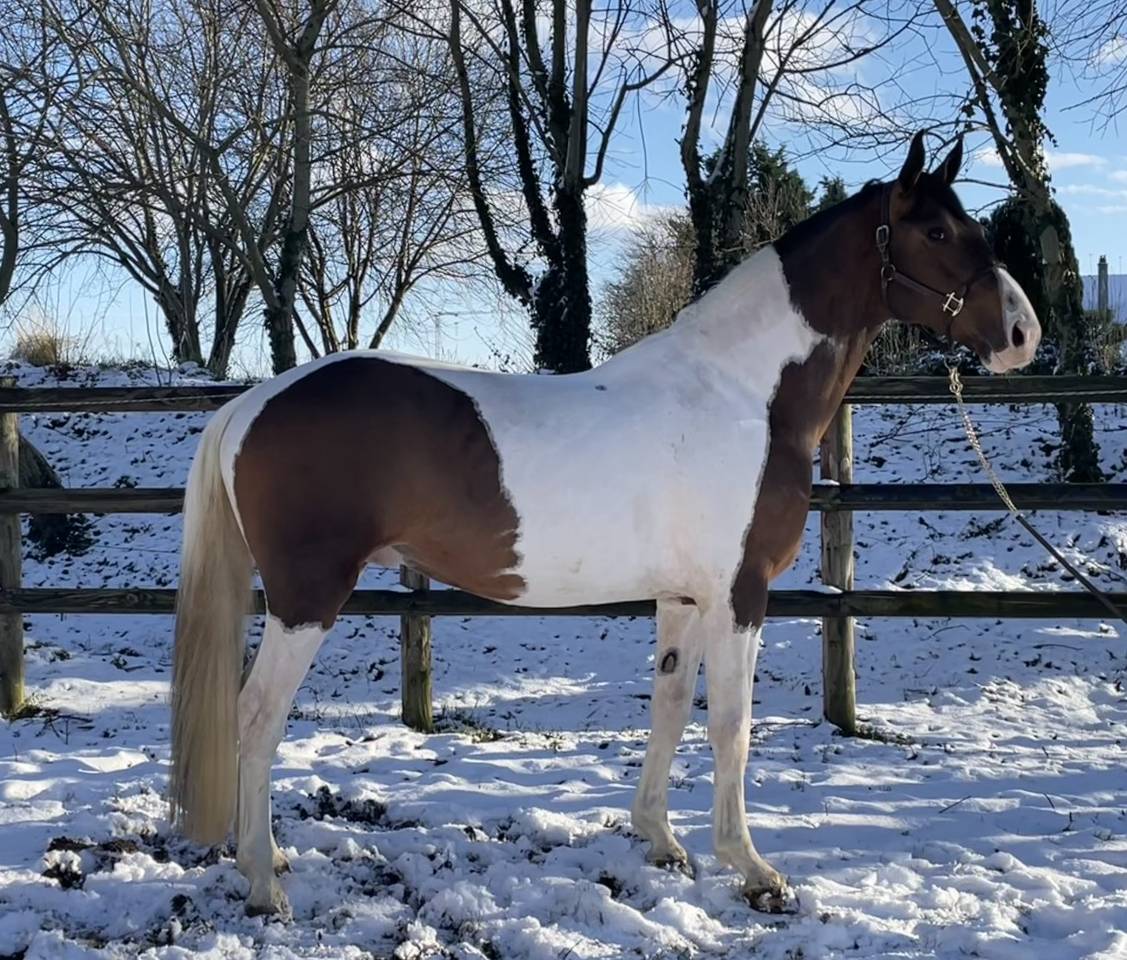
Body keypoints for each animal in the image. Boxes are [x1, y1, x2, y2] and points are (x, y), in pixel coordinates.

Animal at [168, 131, 1040, 917]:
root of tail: (252, 402)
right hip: (306, 599)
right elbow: (731, 726)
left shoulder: (683, 598)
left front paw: (660, 841)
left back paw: (269, 856)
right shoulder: (740, 596)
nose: (1022, 334)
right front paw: (752, 871)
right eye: (936, 232)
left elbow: (669, 706)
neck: (738, 391)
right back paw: (265, 883)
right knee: (256, 719)